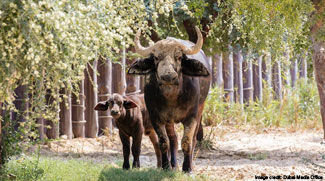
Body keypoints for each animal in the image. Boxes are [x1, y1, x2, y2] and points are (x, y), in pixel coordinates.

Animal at [126, 26, 210, 173]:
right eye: (156, 58)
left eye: (179, 57)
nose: (168, 77)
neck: (172, 96)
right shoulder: (156, 117)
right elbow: (163, 142)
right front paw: (165, 166)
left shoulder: (192, 116)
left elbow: (187, 140)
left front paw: (187, 168)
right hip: (169, 121)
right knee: (173, 139)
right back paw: (174, 165)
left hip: (201, 108)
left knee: (193, 139)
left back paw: (190, 163)